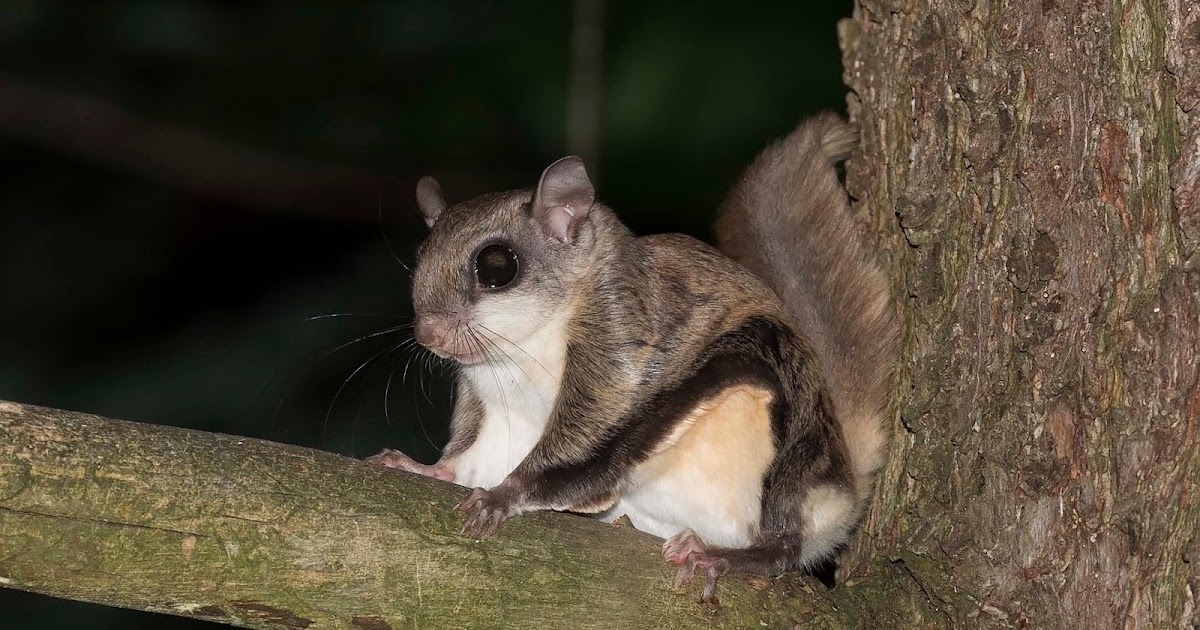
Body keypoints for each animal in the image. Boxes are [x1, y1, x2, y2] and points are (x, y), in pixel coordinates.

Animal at [368, 112, 898, 599]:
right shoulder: (495, 408)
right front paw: (421, 468)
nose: (428, 333)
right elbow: (467, 461)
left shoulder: (616, 340)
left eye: (496, 266)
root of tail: (842, 489)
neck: (517, 353)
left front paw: (502, 497)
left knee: (787, 542)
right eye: (421, 256)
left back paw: (722, 556)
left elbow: (577, 446)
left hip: (782, 447)